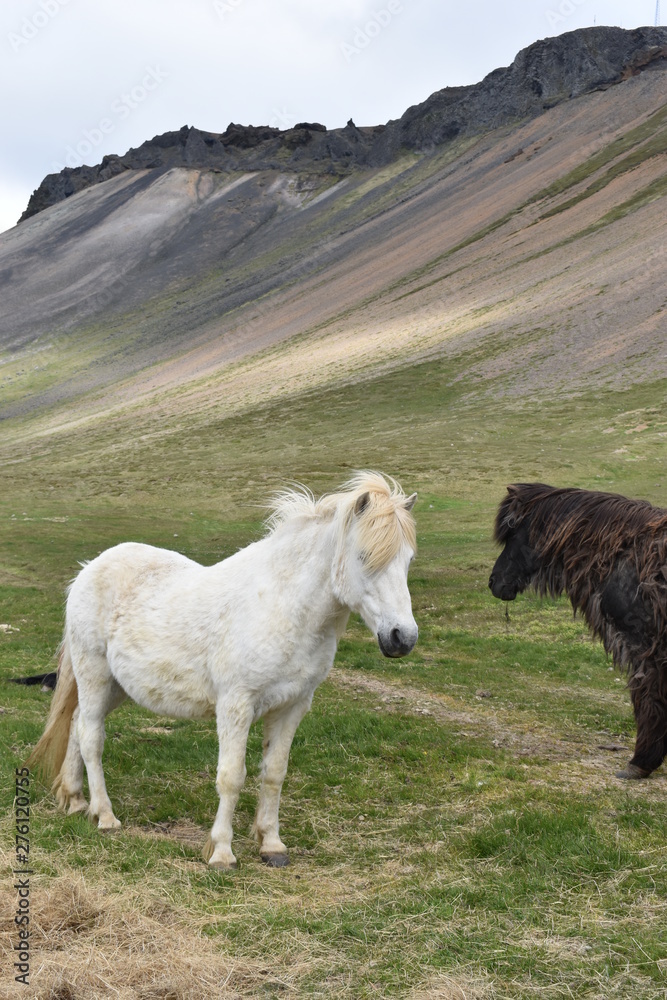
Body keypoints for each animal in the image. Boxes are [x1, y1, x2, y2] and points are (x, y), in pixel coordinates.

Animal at [27, 472, 418, 868]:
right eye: (364, 556)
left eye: (408, 559)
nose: (402, 638)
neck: (282, 607)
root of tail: (88, 569)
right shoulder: (236, 704)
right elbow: (232, 777)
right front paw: (222, 852)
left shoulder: (292, 706)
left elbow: (274, 773)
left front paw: (271, 844)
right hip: (94, 673)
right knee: (91, 735)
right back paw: (105, 816)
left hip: (117, 687)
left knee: (77, 724)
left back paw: (76, 801)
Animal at [489, 483, 667, 780]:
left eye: (512, 532)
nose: (494, 582)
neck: (620, 555)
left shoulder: (645, 648)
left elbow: (649, 700)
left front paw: (641, 761)